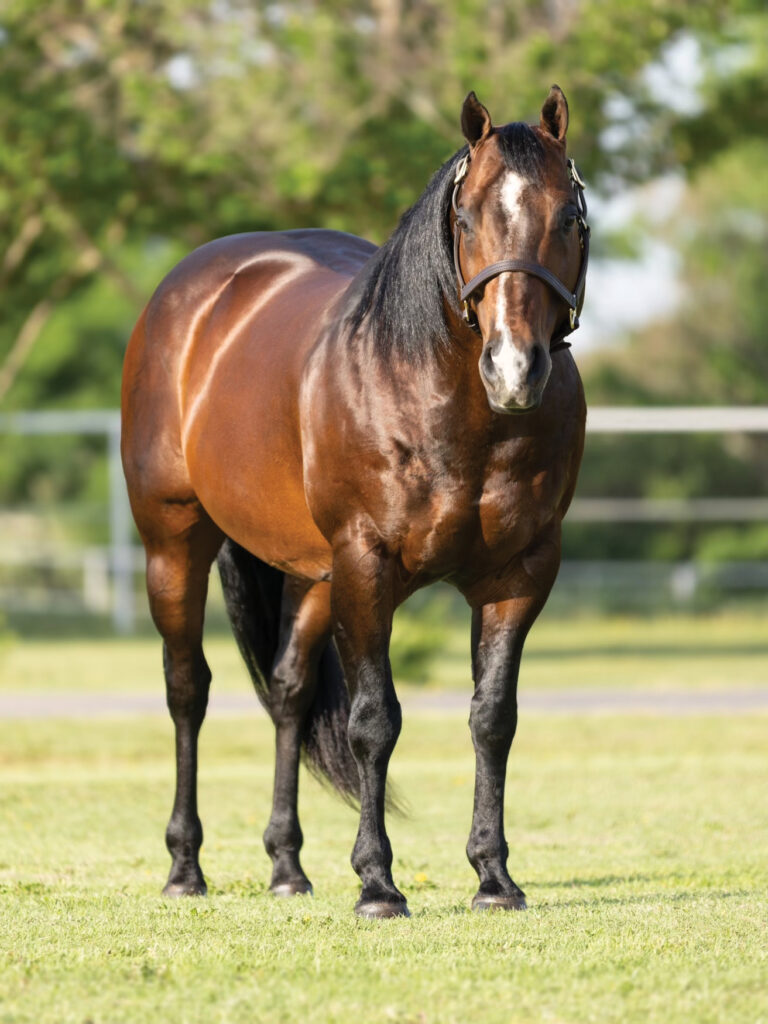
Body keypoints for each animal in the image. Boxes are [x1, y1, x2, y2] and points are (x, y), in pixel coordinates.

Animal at [121, 86, 588, 918]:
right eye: (466, 218)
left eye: (567, 215)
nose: (514, 369)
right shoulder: (368, 565)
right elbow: (377, 720)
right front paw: (377, 882)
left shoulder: (520, 575)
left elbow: (492, 718)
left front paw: (494, 877)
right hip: (173, 544)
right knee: (187, 690)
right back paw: (185, 866)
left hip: (313, 575)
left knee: (288, 692)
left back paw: (286, 866)